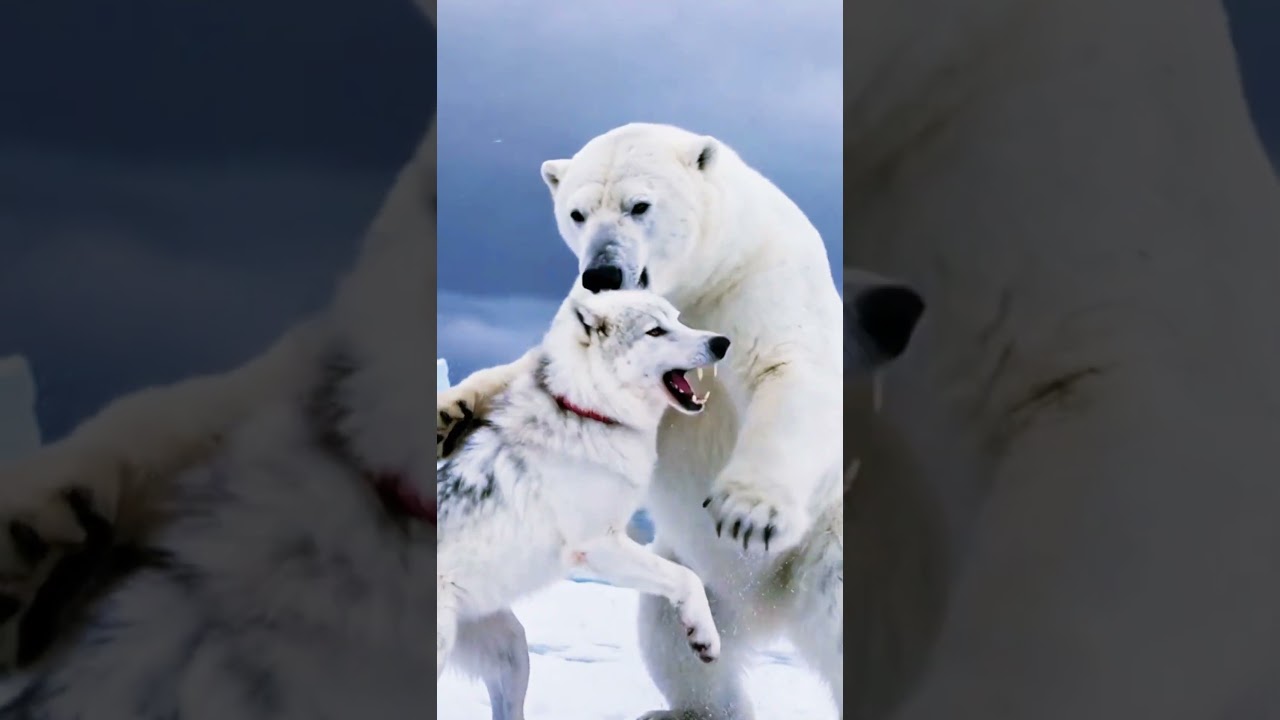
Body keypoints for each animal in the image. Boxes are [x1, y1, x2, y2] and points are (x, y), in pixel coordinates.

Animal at [437, 286, 731, 718]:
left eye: (678, 319)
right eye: (655, 331)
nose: (721, 342)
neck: (591, 415)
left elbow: (682, 578)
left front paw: (701, 636)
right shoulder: (599, 546)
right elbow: (686, 577)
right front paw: (704, 636)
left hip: (511, 649)